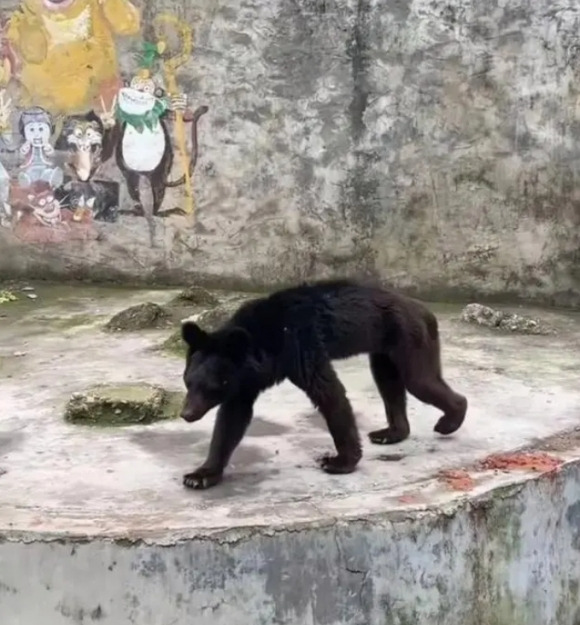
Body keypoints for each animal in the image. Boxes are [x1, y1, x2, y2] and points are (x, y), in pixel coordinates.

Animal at [180, 278, 466, 488]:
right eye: (188, 382)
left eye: (211, 386)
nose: (187, 413)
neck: (265, 340)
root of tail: (425, 310)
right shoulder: (244, 381)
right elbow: (232, 418)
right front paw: (199, 475)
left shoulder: (299, 345)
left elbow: (328, 392)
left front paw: (338, 461)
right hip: (384, 348)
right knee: (389, 382)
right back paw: (391, 432)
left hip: (408, 336)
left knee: (420, 380)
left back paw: (450, 420)